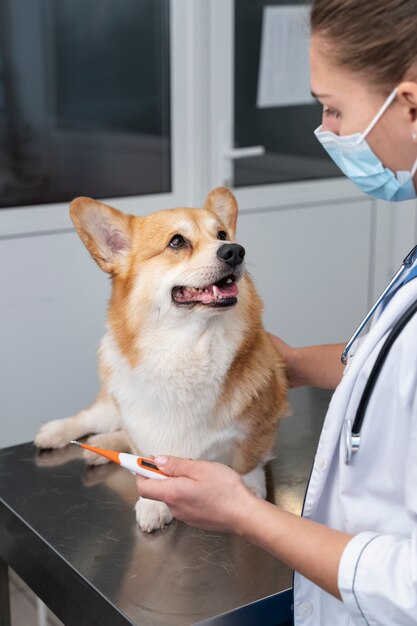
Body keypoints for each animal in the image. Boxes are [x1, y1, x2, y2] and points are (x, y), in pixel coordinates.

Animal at [35, 186, 288, 532]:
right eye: (177, 242)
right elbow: (148, 455)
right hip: (110, 407)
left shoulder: (261, 424)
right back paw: (56, 433)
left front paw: (248, 489)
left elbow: (247, 459)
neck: (189, 345)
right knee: (89, 418)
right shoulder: (143, 426)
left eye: (222, 234)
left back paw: (99, 448)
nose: (235, 251)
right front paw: (154, 502)